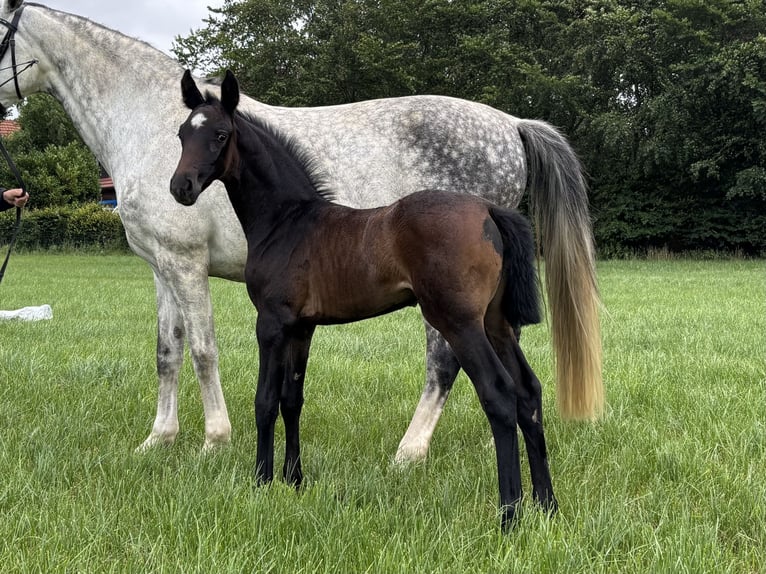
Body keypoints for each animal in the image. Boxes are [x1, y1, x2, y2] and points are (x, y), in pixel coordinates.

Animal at [0, 0, 602, 458]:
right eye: (180, 135)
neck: (146, 123)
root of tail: (511, 124)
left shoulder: (186, 264)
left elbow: (203, 351)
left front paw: (214, 443)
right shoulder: (161, 266)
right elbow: (167, 352)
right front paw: (158, 441)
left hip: (446, 301)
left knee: (445, 362)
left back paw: (409, 453)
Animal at [171, 69, 564, 528]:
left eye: (219, 135)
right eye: (182, 133)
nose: (180, 187)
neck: (288, 221)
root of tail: (488, 211)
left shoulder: (271, 323)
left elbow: (265, 400)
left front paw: (261, 481)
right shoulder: (302, 328)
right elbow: (292, 399)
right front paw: (294, 480)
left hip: (460, 323)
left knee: (499, 395)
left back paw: (508, 516)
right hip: (496, 324)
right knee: (529, 392)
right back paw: (547, 505)